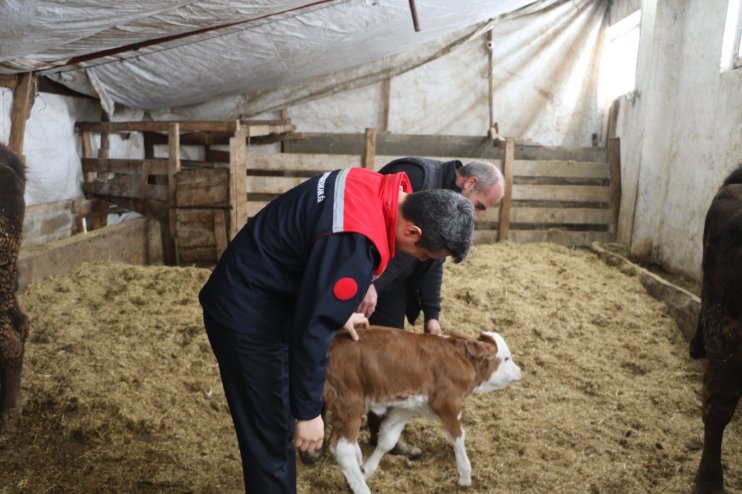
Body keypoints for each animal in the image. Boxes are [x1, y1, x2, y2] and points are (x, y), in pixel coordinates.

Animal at [326, 326, 524, 492]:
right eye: (506, 358)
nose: (520, 371)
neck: (463, 362)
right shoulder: (448, 403)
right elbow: (458, 438)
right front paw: (465, 476)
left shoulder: (406, 407)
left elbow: (388, 439)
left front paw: (366, 470)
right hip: (349, 402)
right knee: (343, 450)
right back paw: (361, 487)